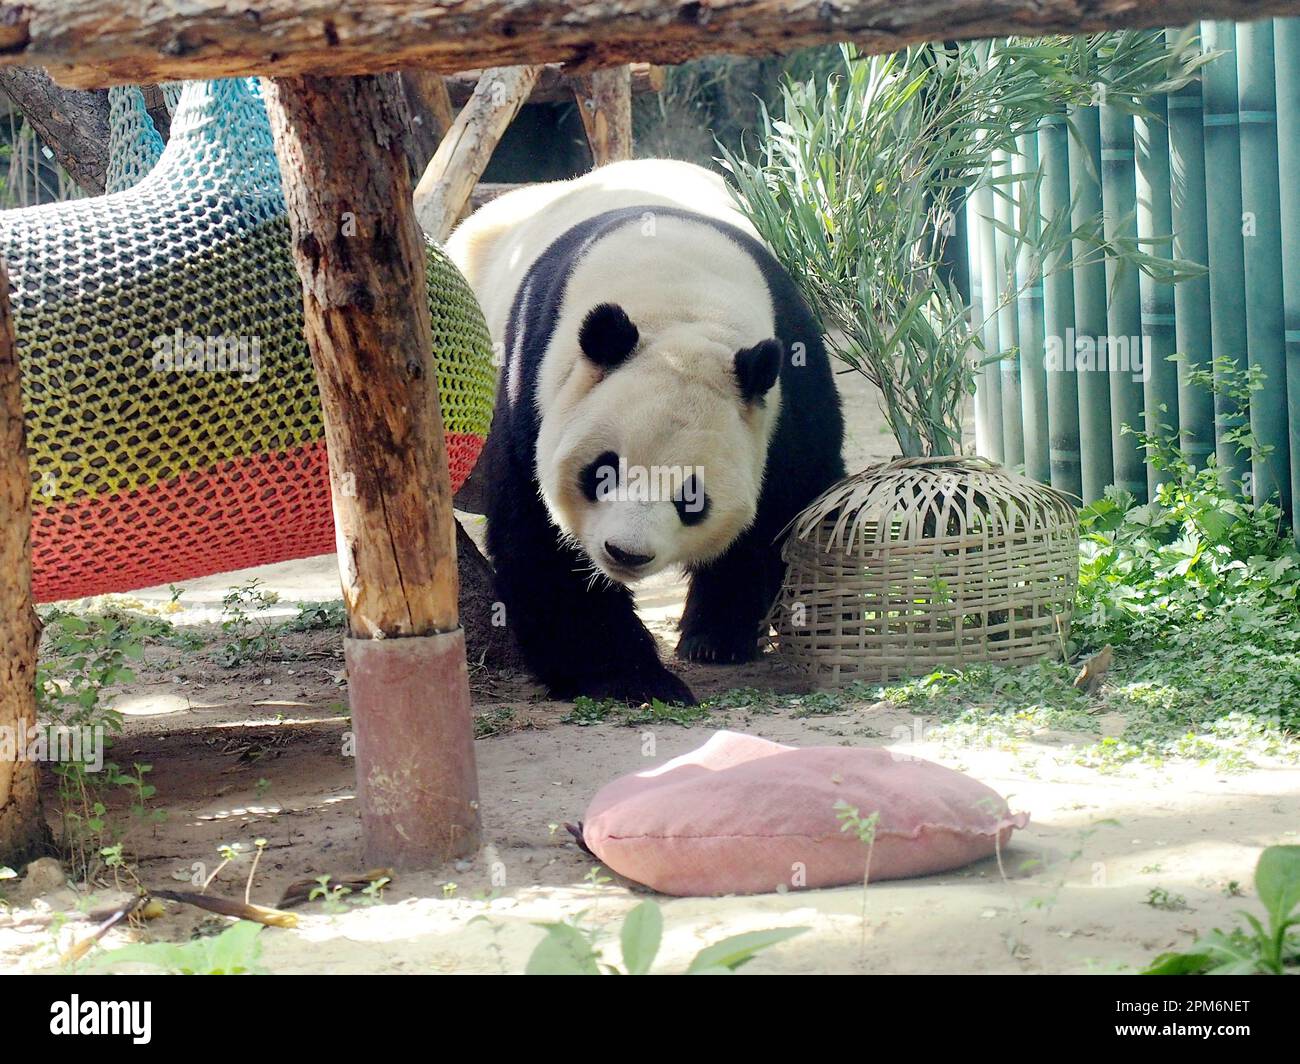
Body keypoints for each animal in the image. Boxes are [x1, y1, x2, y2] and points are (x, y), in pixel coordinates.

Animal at [447, 159, 847, 702]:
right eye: (601, 473)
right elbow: (538, 534)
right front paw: (631, 678)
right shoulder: (533, 381)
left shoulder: (790, 379)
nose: (625, 553)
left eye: (692, 497)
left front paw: (715, 637)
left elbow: (787, 506)